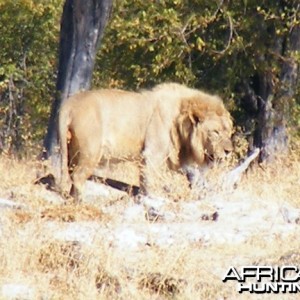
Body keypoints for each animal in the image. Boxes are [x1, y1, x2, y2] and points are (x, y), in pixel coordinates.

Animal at [57, 82, 233, 202]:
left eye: (228, 132)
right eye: (215, 132)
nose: (229, 151)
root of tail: (69, 104)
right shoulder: (153, 154)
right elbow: (150, 180)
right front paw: (153, 199)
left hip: (72, 152)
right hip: (91, 151)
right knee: (77, 177)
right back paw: (81, 202)